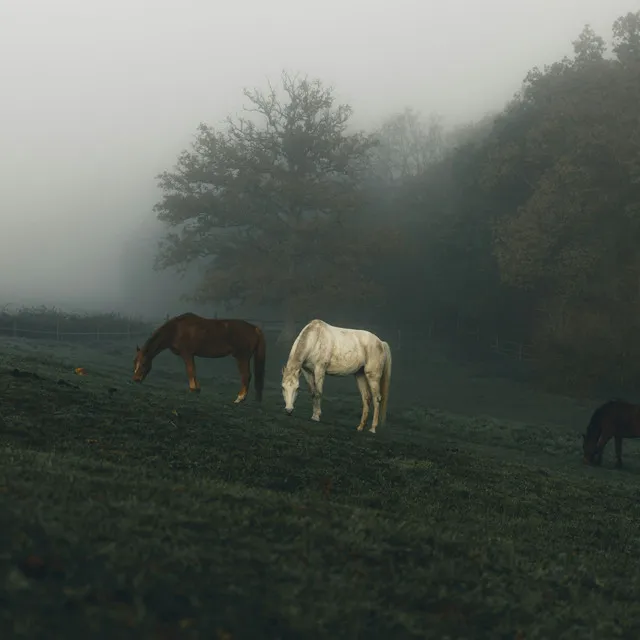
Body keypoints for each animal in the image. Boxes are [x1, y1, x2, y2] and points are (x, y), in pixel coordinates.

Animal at [132, 312, 264, 402]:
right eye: (135, 363)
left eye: (143, 364)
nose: (136, 379)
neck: (176, 330)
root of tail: (254, 328)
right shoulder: (191, 355)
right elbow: (193, 371)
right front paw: (197, 389)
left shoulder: (187, 354)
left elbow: (190, 371)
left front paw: (193, 388)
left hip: (242, 357)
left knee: (246, 376)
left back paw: (239, 398)